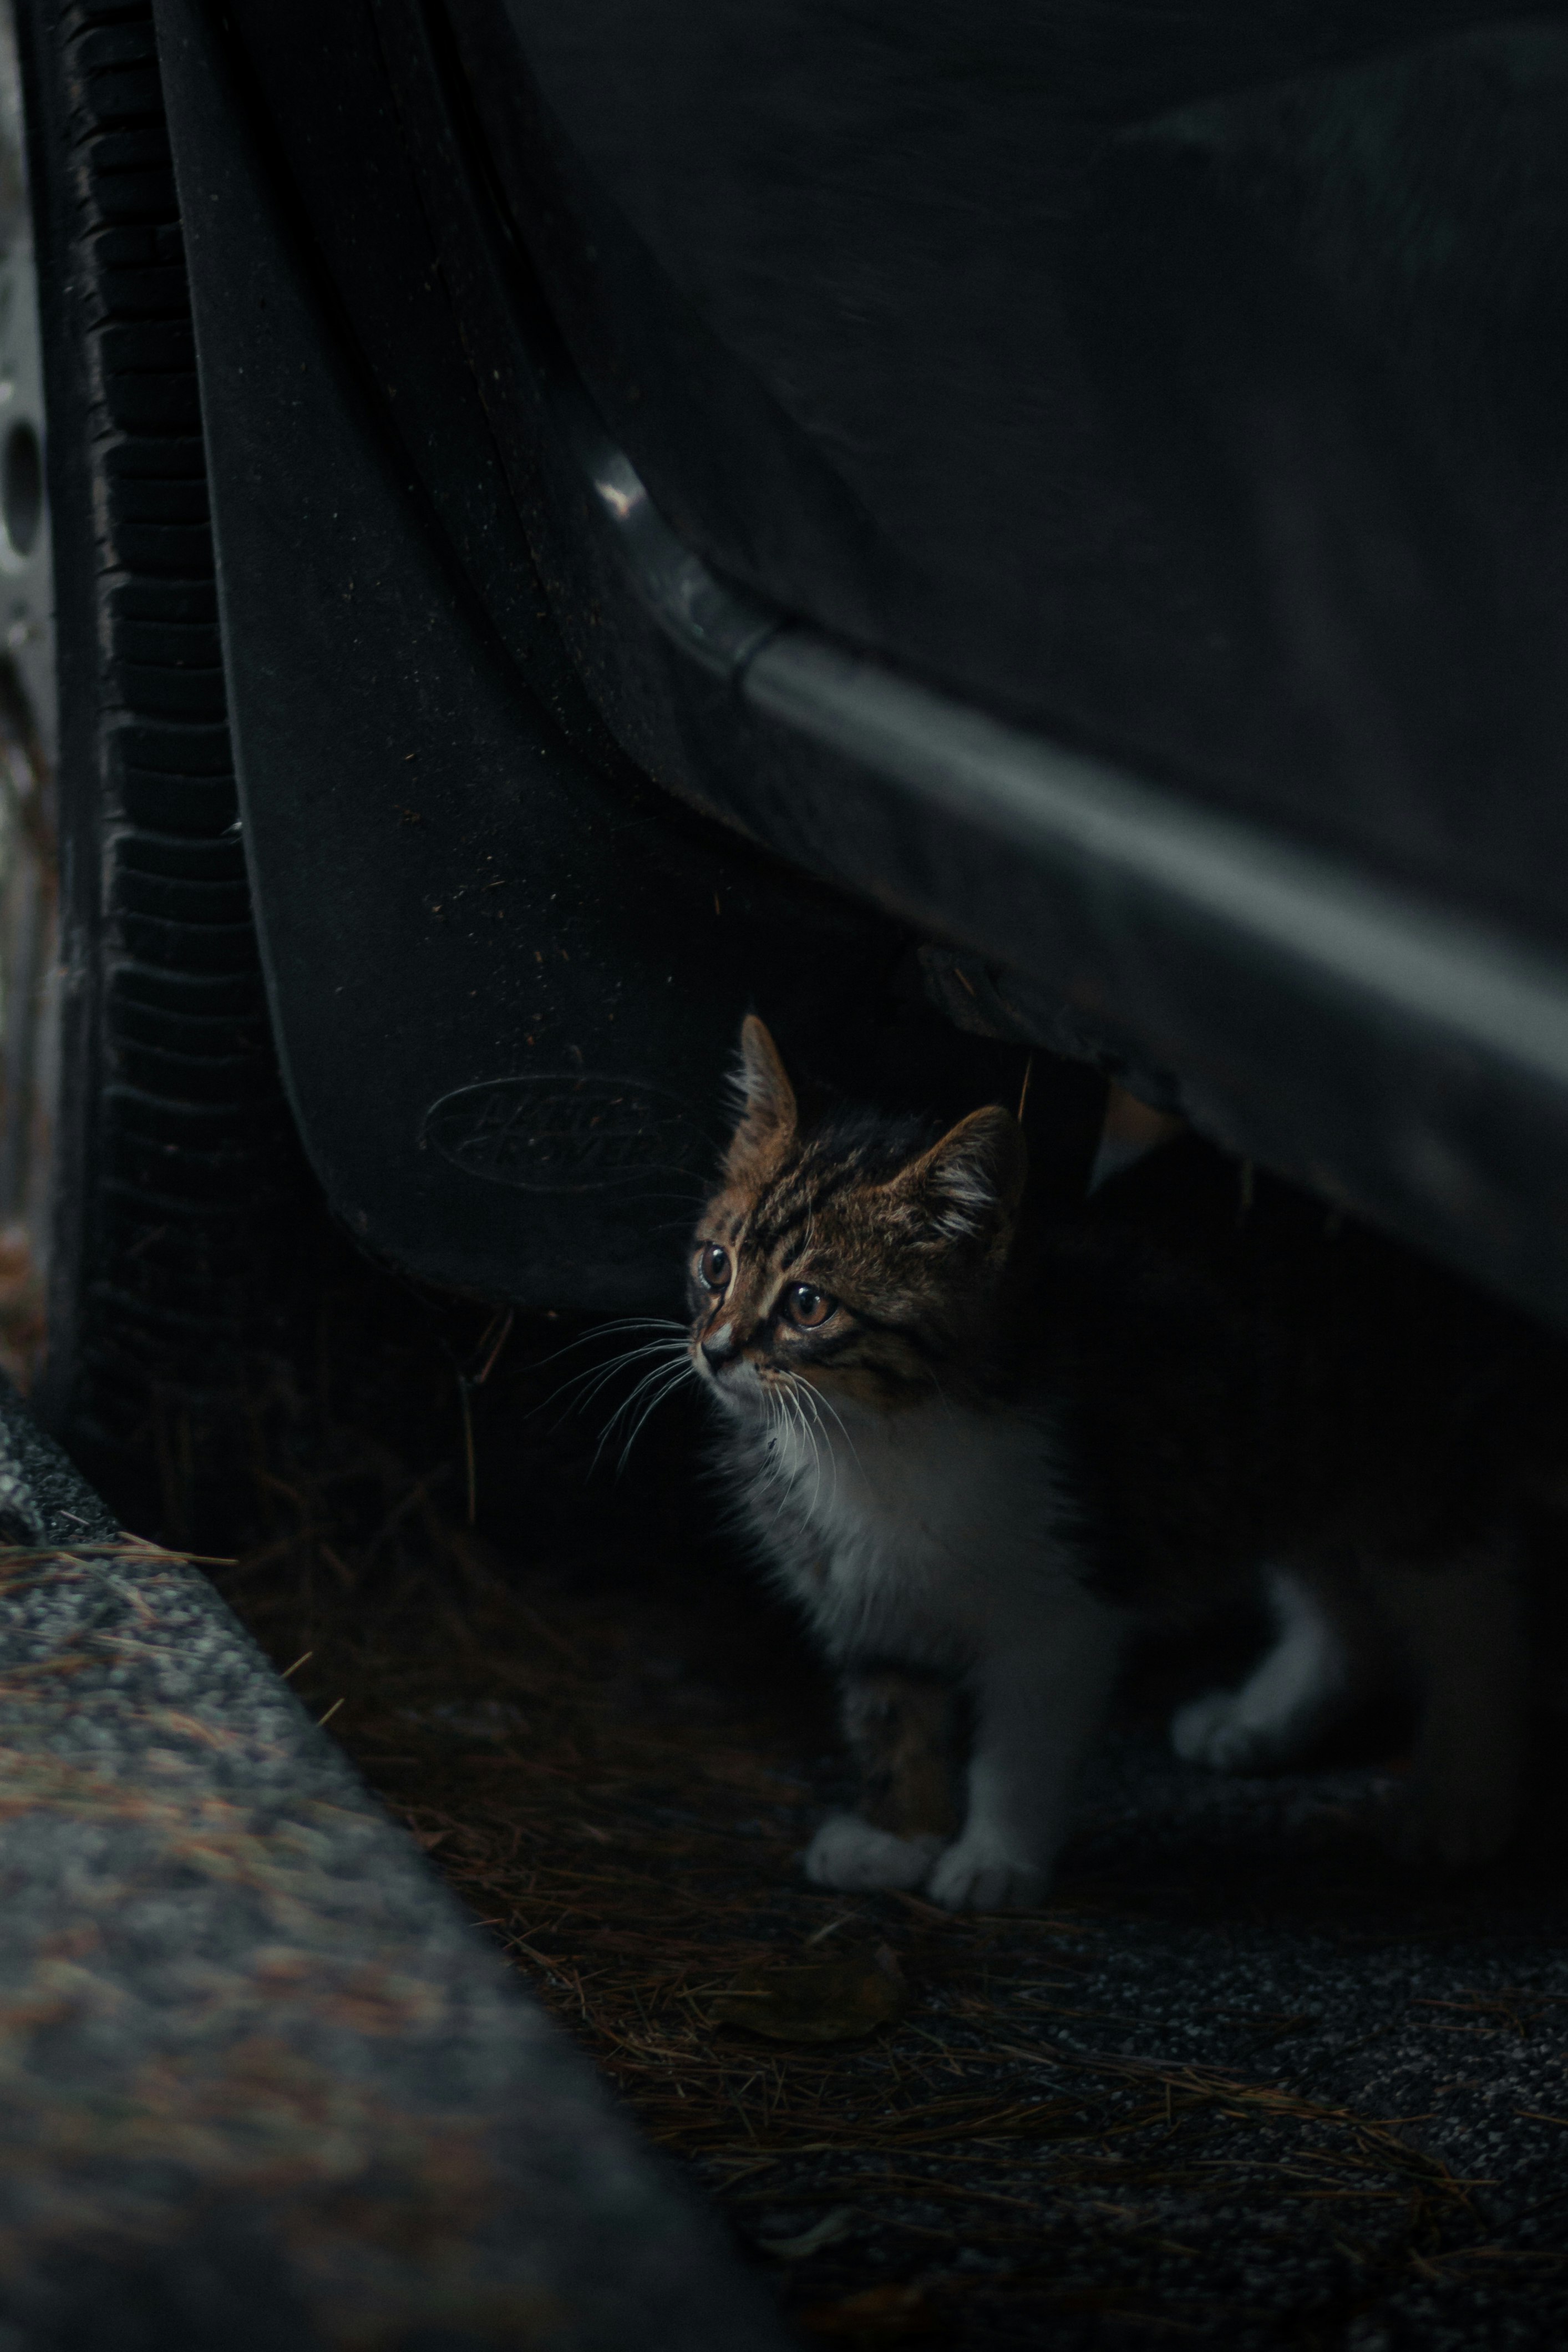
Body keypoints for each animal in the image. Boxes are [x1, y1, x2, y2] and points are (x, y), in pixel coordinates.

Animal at [686, 1021, 1568, 1900]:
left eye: (808, 1304)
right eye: (714, 1265)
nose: (715, 1350)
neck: (868, 1437)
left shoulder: (1064, 1597)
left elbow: (1023, 1746)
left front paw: (994, 1859)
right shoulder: (860, 1594)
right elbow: (889, 1710)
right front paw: (894, 1834)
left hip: (1410, 1461)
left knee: (1473, 1616)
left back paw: (1460, 1798)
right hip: (1273, 1452)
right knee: (1344, 1606)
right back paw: (1258, 1721)